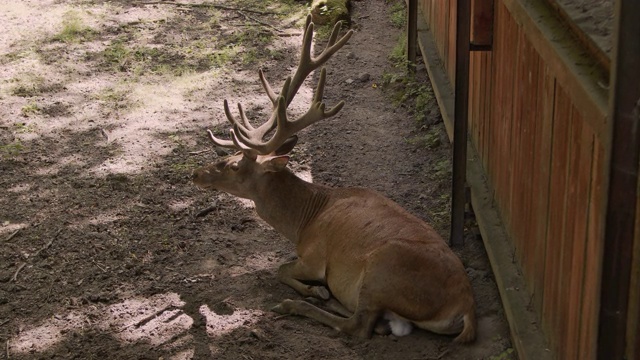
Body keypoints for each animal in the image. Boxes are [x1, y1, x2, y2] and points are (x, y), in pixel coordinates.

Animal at [192, 16, 478, 344]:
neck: (304, 221)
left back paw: (296, 304)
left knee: (359, 326)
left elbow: (281, 269)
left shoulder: (314, 257)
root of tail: (466, 310)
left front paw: (312, 290)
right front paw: (318, 292)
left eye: (235, 165)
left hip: (381, 269)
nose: (196, 173)